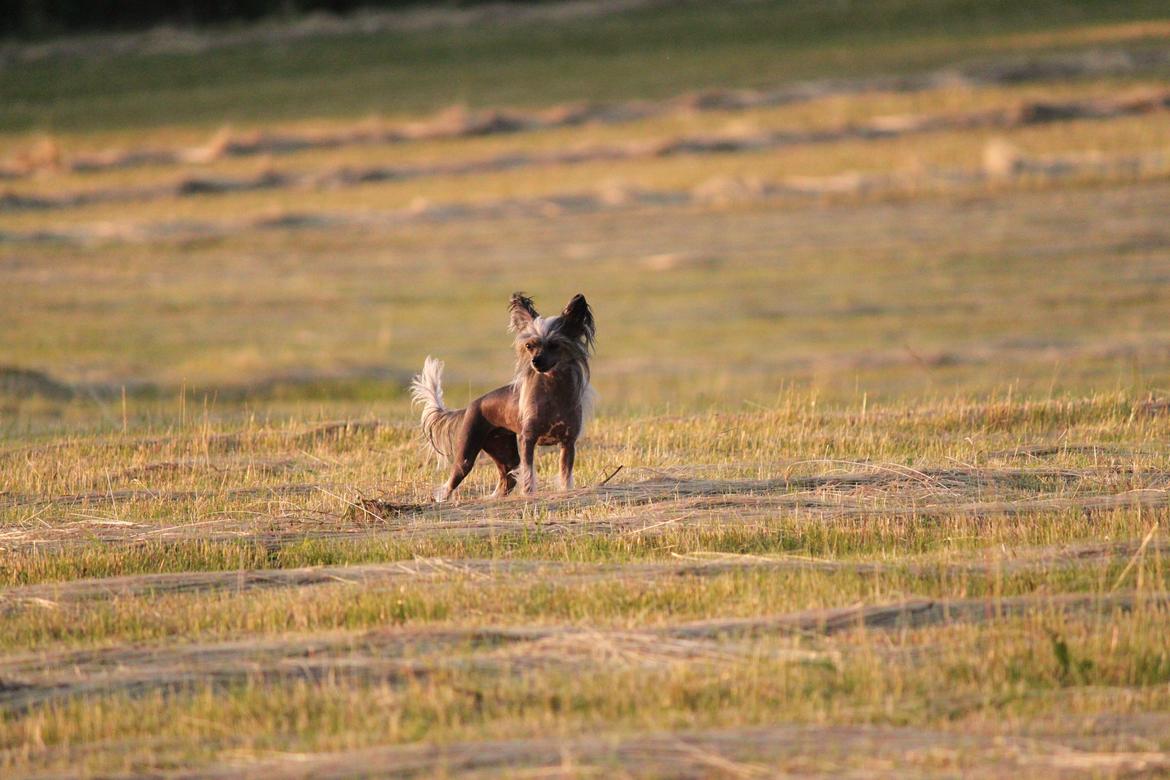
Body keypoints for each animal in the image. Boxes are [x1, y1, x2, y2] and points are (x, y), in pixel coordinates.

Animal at [409, 291, 594, 500]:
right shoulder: (527, 439)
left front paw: (565, 492)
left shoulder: (568, 443)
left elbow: (565, 474)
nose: (535, 361)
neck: (553, 392)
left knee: (506, 480)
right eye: (529, 346)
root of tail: (469, 407)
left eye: (555, 345)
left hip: (505, 453)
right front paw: (529, 494)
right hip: (466, 456)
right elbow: (528, 473)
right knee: (450, 484)